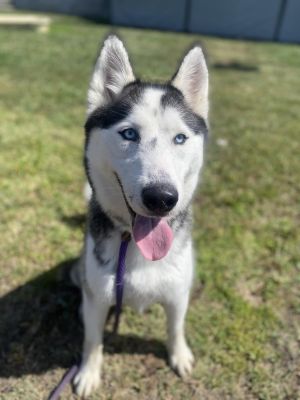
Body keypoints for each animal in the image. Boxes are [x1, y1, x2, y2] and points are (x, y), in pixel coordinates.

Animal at [72, 34, 209, 396]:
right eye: (129, 134)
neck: (132, 245)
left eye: (180, 138)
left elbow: (175, 328)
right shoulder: (98, 299)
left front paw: (179, 356)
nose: (162, 198)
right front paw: (88, 373)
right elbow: (92, 340)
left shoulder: (177, 294)